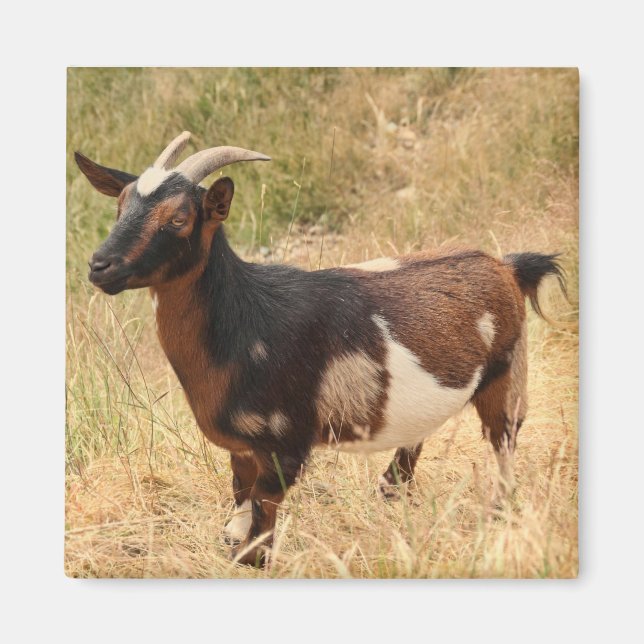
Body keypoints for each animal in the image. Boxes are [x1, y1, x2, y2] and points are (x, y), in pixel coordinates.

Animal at [76, 131, 565, 567]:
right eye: (120, 205)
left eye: (179, 218)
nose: (99, 266)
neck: (247, 321)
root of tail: (507, 266)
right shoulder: (242, 448)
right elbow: (239, 503)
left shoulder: (284, 447)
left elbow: (258, 534)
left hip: (507, 376)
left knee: (504, 443)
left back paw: (497, 512)